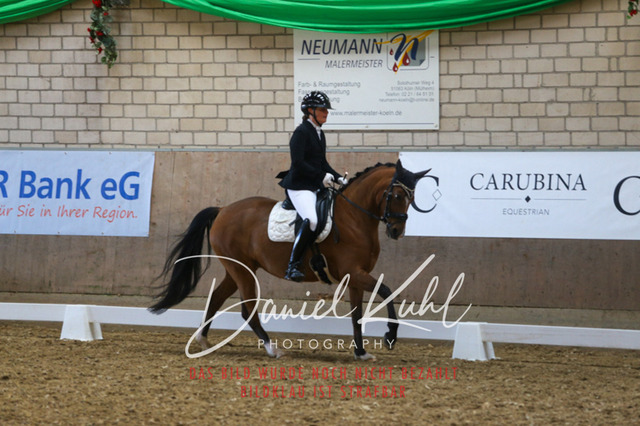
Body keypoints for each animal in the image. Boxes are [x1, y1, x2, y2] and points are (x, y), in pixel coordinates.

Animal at [150, 159, 430, 360]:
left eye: (412, 198)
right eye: (396, 196)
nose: (396, 231)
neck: (354, 217)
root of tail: (223, 210)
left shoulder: (354, 278)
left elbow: (357, 315)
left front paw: (361, 352)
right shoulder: (353, 272)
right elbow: (388, 291)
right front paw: (390, 336)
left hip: (238, 268)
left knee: (217, 298)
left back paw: (204, 341)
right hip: (243, 271)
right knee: (247, 310)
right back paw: (272, 349)